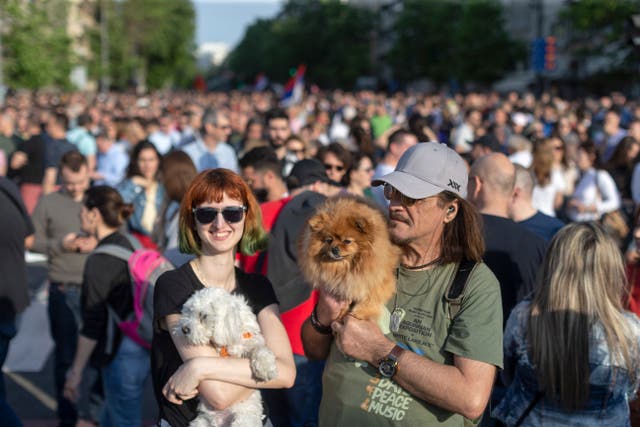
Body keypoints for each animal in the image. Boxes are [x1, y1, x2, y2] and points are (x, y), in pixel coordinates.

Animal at [176, 288, 276, 427]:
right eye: (189, 312)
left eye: (204, 316)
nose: (184, 329)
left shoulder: (250, 341)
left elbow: (259, 348)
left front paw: (265, 368)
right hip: (201, 421)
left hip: (244, 418)